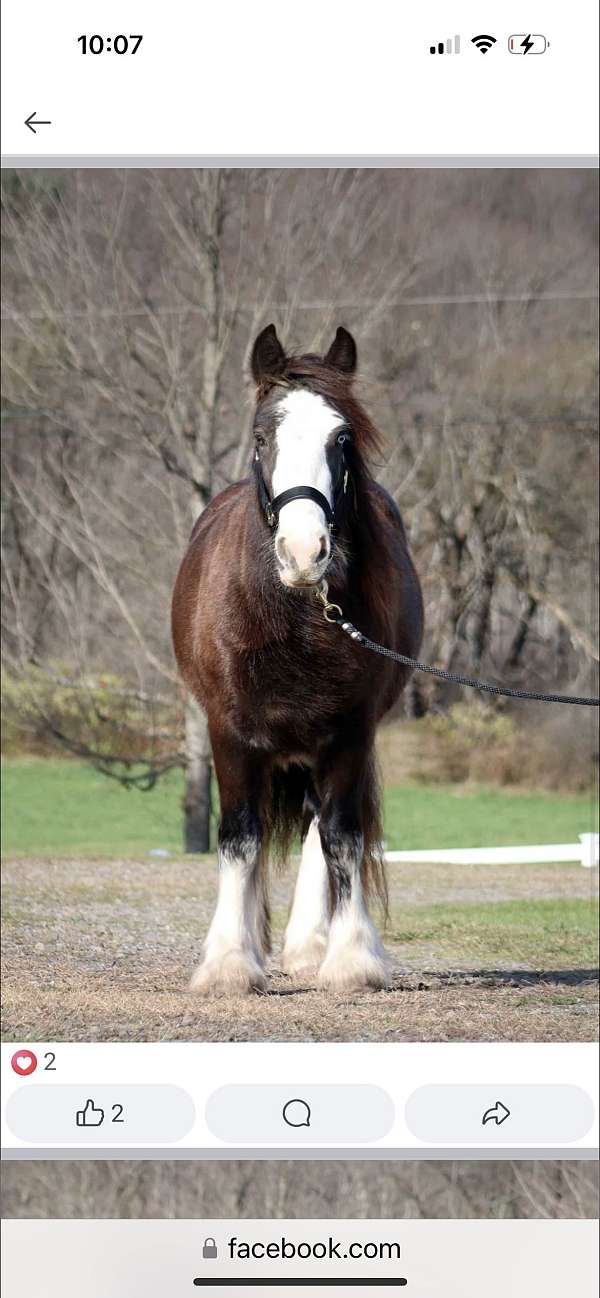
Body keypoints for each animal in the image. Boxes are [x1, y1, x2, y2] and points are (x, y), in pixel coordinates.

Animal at [170, 324, 420, 991]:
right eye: (263, 436)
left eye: (342, 437)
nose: (305, 552)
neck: (297, 615)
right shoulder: (228, 730)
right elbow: (239, 836)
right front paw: (230, 963)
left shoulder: (350, 733)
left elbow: (342, 836)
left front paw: (351, 958)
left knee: (317, 826)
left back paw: (309, 943)